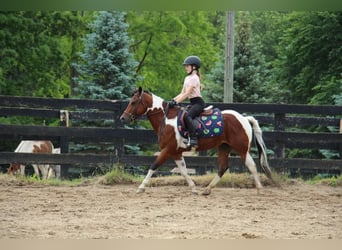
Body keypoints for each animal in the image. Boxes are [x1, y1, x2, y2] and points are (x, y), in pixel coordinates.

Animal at [120, 87, 276, 195]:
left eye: (133, 102)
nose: (123, 118)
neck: (166, 119)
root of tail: (244, 118)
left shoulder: (167, 150)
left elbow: (153, 166)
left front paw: (141, 187)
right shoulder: (176, 153)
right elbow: (183, 171)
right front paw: (194, 188)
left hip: (241, 149)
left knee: (251, 166)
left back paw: (259, 189)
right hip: (224, 147)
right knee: (223, 167)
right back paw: (207, 189)